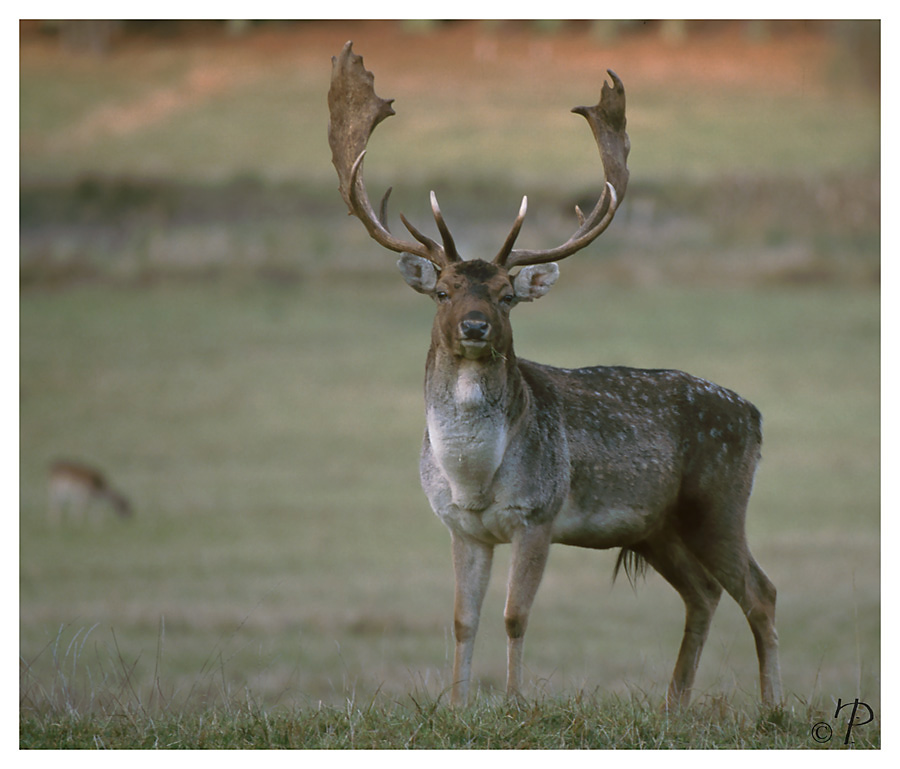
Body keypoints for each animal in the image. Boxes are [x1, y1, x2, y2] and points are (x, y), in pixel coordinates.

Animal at [328, 42, 780, 708]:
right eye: (441, 291)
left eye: (507, 296)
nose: (475, 327)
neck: (472, 477)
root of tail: (755, 414)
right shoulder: (462, 527)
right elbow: (463, 619)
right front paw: (457, 706)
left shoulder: (538, 514)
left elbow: (516, 616)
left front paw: (515, 703)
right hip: (657, 526)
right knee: (703, 593)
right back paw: (674, 708)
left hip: (718, 499)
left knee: (760, 591)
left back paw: (770, 709)